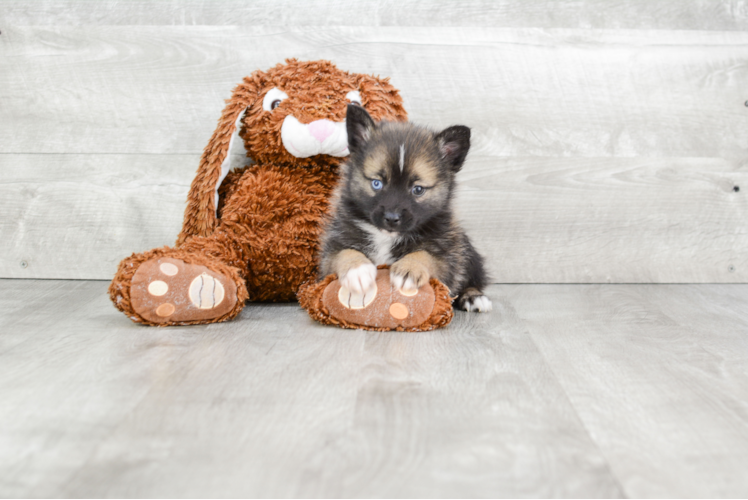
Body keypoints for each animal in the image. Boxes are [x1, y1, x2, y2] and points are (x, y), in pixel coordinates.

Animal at [320, 103, 490, 310]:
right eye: (377, 183)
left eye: (417, 189)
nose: (392, 218)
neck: (386, 237)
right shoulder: (332, 249)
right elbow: (343, 253)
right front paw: (357, 270)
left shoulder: (446, 257)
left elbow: (425, 255)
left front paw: (410, 269)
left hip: (467, 252)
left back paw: (474, 296)